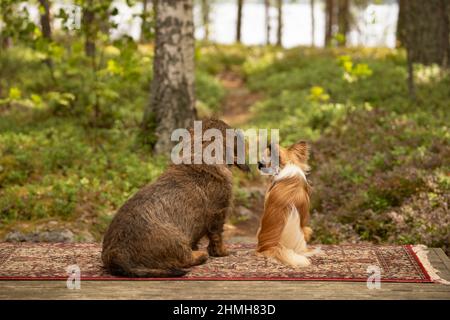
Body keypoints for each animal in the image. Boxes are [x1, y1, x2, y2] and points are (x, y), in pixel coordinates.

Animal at [101, 119, 250, 276]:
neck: (200, 160)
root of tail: (117, 255)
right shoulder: (219, 212)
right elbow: (217, 236)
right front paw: (222, 252)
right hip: (178, 239)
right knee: (186, 259)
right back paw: (200, 255)